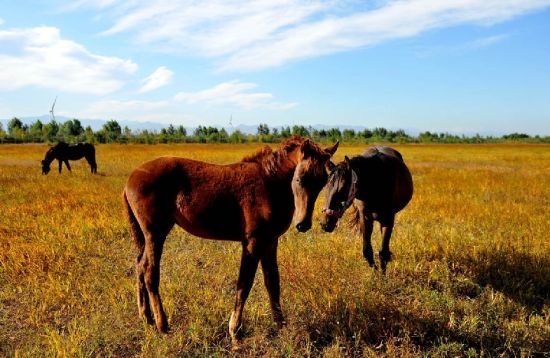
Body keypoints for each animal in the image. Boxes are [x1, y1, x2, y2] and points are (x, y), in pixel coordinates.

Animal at [124, 136, 338, 346]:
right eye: (299, 178)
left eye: (323, 182)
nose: (303, 224)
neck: (269, 182)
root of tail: (130, 180)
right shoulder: (252, 242)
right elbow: (244, 284)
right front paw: (235, 332)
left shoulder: (270, 241)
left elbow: (273, 283)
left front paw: (282, 327)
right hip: (155, 234)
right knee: (150, 272)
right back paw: (162, 325)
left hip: (146, 237)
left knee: (140, 266)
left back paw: (147, 318)